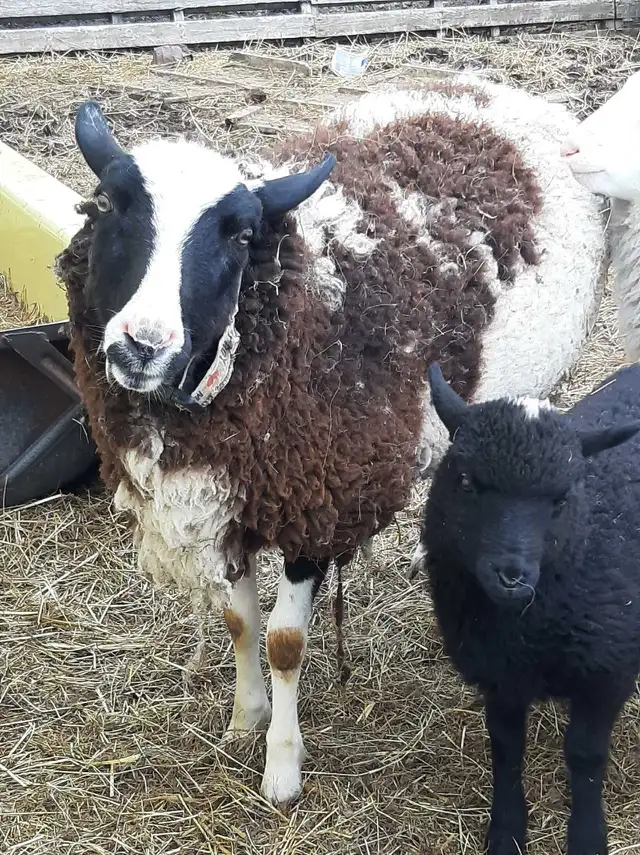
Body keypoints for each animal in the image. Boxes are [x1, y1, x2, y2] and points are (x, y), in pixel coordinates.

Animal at [55, 77, 606, 807]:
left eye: (240, 234)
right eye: (114, 207)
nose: (142, 345)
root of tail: (495, 91)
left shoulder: (316, 506)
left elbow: (285, 641)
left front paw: (282, 767)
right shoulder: (232, 502)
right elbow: (240, 622)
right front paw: (246, 717)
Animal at [414, 361, 640, 855]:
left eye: (562, 498)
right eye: (466, 481)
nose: (511, 576)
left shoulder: (608, 674)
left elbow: (585, 754)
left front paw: (588, 836)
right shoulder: (498, 677)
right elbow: (505, 747)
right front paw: (506, 831)